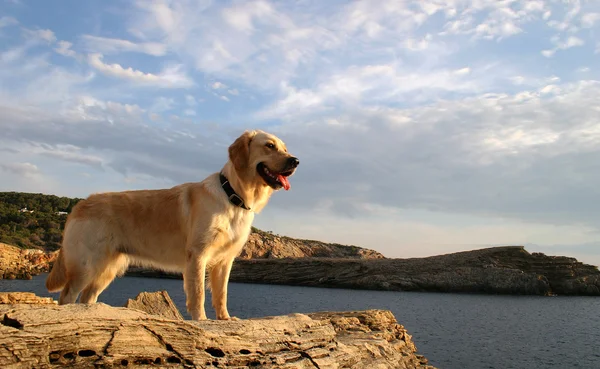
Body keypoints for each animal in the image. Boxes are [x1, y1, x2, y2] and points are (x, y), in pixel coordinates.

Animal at [45, 130, 298, 320]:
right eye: (269, 146)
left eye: (285, 148)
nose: (295, 161)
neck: (232, 195)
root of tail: (81, 203)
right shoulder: (198, 255)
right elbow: (198, 294)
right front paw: (201, 320)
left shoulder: (225, 260)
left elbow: (221, 294)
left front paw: (225, 319)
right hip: (86, 265)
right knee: (67, 296)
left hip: (108, 268)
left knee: (87, 297)